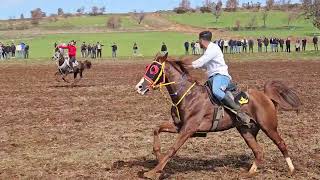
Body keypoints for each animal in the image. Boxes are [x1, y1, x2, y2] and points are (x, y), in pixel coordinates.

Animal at [135, 52, 302, 179]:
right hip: (246, 130)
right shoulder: (179, 126)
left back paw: (291, 170)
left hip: (269, 127)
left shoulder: (189, 129)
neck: (188, 95)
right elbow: (157, 129)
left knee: (281, 144)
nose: (139, 87)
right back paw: (249, 173)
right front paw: (157, 158)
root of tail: (266, 96)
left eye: (154, 69)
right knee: (258, 151)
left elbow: (173, 149)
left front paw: (152, 172)